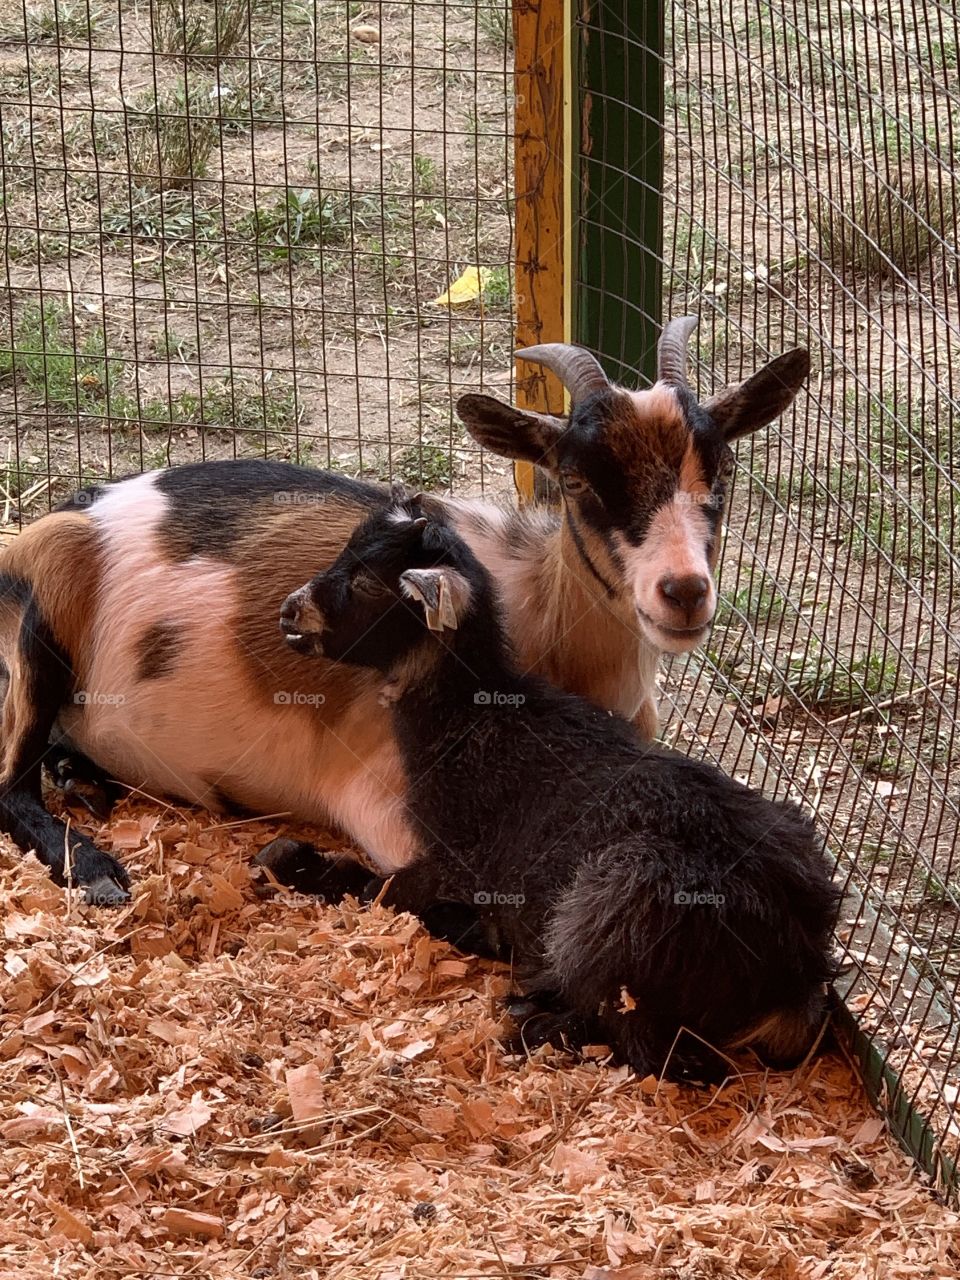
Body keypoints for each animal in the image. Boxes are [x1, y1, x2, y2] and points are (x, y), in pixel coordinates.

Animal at [0, 318, 809, 902]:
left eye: (723, 470)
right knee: (9, 783)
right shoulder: (386, 805)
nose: (684, 591)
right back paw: (97, 868)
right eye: (576, 481)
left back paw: (83, 779)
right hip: (39, 627)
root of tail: (74, 510)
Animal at [280, 500, 841, 1081]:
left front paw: (301, 862)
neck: (474, 721)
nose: (289, 613)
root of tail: (797, 972)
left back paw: (530, 1020)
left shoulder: (458, 859)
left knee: (650, 1049)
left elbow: (382, 888)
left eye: (369, 584)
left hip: (620, 908)